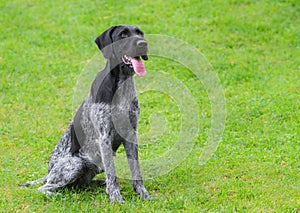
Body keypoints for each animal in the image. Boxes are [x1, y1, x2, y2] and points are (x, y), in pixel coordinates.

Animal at [20, 25, 152, 203]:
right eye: (123, 34)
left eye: (140, 33)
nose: (142, 43)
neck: (121, 86)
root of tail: (48, 172)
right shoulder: (104, 138)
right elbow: (113, 175)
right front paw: (116, 199)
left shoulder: (130, 134)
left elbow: (136, 170)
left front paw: (143, 194)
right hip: (75, 164)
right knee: (44, 188)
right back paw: (59, 195)